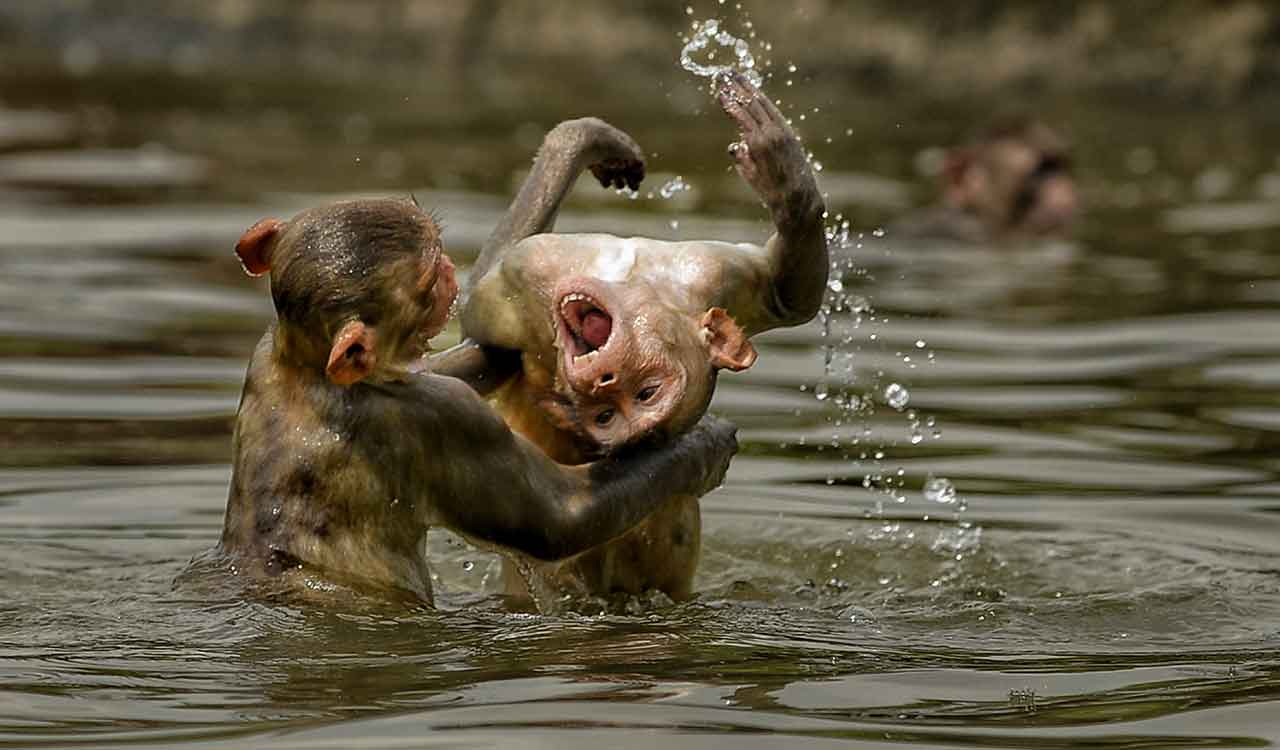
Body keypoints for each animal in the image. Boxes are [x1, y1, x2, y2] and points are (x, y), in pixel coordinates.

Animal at [211, 197, 738, 605]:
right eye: (427, 282)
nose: (449, 269)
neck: (304, 366)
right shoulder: (437, 419)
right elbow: (560, 520)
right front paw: (704, 449)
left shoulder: (267, 346)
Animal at [436, 72, 826, 602]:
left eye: (636, 399)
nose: (605, 378)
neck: (626, 279)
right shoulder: (710, 274)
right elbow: (786, 291)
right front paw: (784, 178)